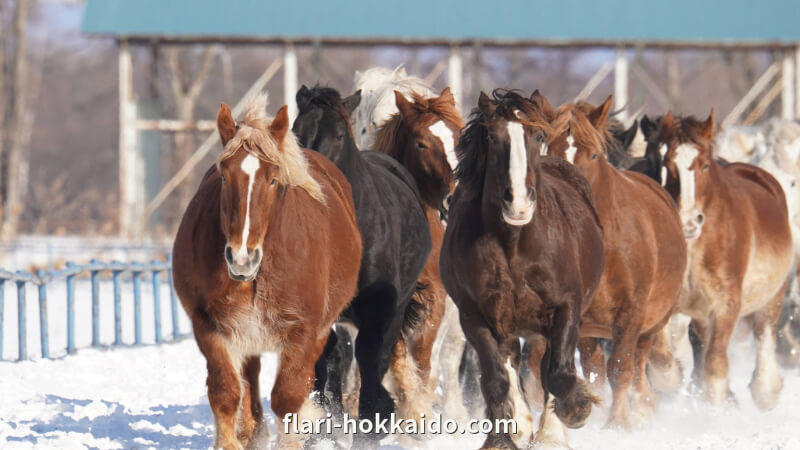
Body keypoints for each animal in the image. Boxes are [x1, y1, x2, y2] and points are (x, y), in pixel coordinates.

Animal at [176, 96, 366, 448]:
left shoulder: (302, 332)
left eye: (273, 179)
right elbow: (225, 393)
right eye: (224, 176)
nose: (241, 258)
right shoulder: (208, 325)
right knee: (248, 377)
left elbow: (288, 397)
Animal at [440, 89, 604, 448]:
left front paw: (575, 411)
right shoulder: (476, 316)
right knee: (512, 360)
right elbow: (496, 379)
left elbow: (558, 373)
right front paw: (503, 436)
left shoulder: (566, 308)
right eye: (491, 136)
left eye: (539, 136)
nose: (518, 202)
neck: (513, 245)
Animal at [544, 94, 688, 426]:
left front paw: (618, 424)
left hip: (652, 319)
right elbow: (594, 371)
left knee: (640, 359)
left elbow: (621, 367)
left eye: (594, 154)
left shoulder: (632, 313)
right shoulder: (578, 318)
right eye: (548, 149)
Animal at [652, 110, 792, 410]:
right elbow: (662, 361)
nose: (688, 221)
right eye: (668, 164)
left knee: (764, 335)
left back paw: (765, 390)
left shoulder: (726, 304)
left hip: (772, 297)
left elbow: (715, 367)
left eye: (705, 166)